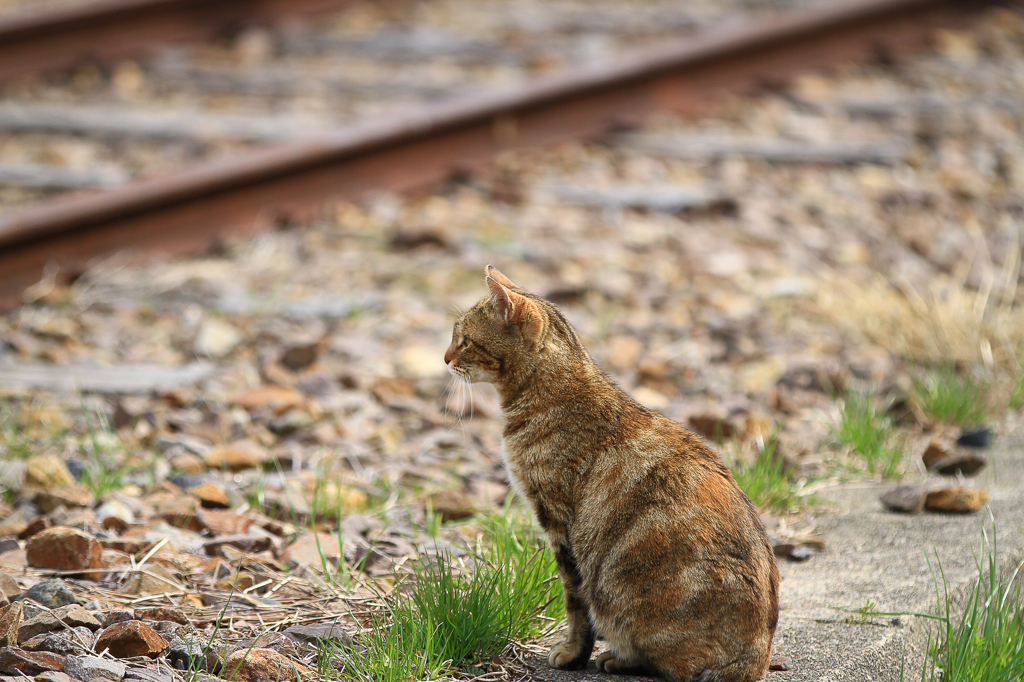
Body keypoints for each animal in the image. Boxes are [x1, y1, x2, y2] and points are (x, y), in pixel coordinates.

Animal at [444, 266, 778, 679]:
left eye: (465, 340)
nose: (445, 358)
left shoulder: (558, 520)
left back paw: (620, 658)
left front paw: (574, 653)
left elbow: (575, 602)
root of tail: (754, 659)